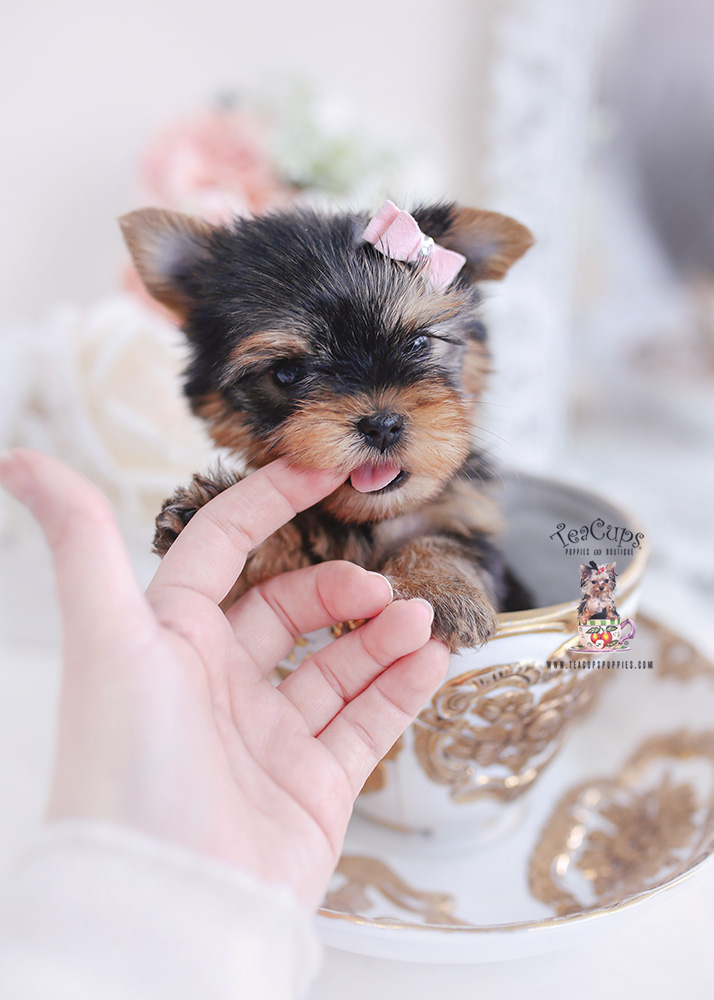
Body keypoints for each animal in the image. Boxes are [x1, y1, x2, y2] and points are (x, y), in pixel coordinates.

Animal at [121, 200, 536, 652]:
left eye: (419, 344)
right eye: (286, 373)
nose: (382, 424)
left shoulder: (465, 512)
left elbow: (449, 541)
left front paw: (436, 589)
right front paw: (223, 524)